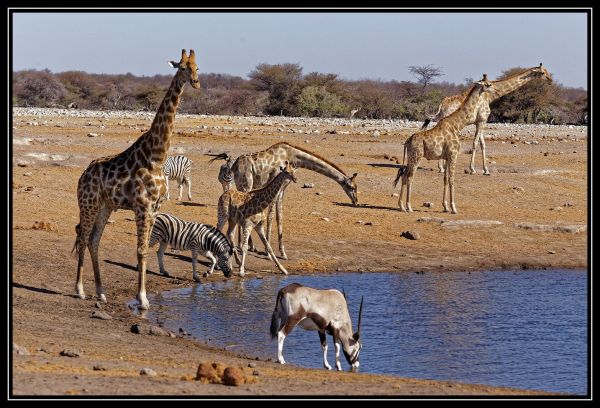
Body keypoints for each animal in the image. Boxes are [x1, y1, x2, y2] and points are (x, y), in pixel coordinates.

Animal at [73, 48, 200, 310]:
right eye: (182, 67)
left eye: (197, 67)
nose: (195, 82)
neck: (156, 157)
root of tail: (83, 174)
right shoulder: (142, 207)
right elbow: (141, 250)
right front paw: (142, 299)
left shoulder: (154, 208)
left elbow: (146, 250)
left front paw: (142, 296)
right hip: (88, 203)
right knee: (82, 237)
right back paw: (79, 290)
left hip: (105, 206)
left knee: (94, 240)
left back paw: (101, 292)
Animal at [394, 77, 496, 215]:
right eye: (488, 84)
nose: (495, 91)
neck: (458, 125)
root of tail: (407, 142)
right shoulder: (453, 154)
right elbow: (452, 180)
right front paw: (454, 208)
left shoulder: (447, 157)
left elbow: (445, 179)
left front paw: (445, 207)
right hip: (416, 157)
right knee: (409, 177)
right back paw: (409, 207)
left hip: (410, 158)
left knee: (404, 176)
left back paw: (401, 206)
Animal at [422, 63, 552, 175]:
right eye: (543, 72)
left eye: (547, 71)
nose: (551, 80)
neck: (490, 97)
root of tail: (442, 104)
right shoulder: (482, 120)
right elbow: (476, 143)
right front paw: (472, 169)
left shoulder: (479, 122)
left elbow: (483, 144)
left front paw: (486, 170)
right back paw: (442, 168)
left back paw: (441, 167)